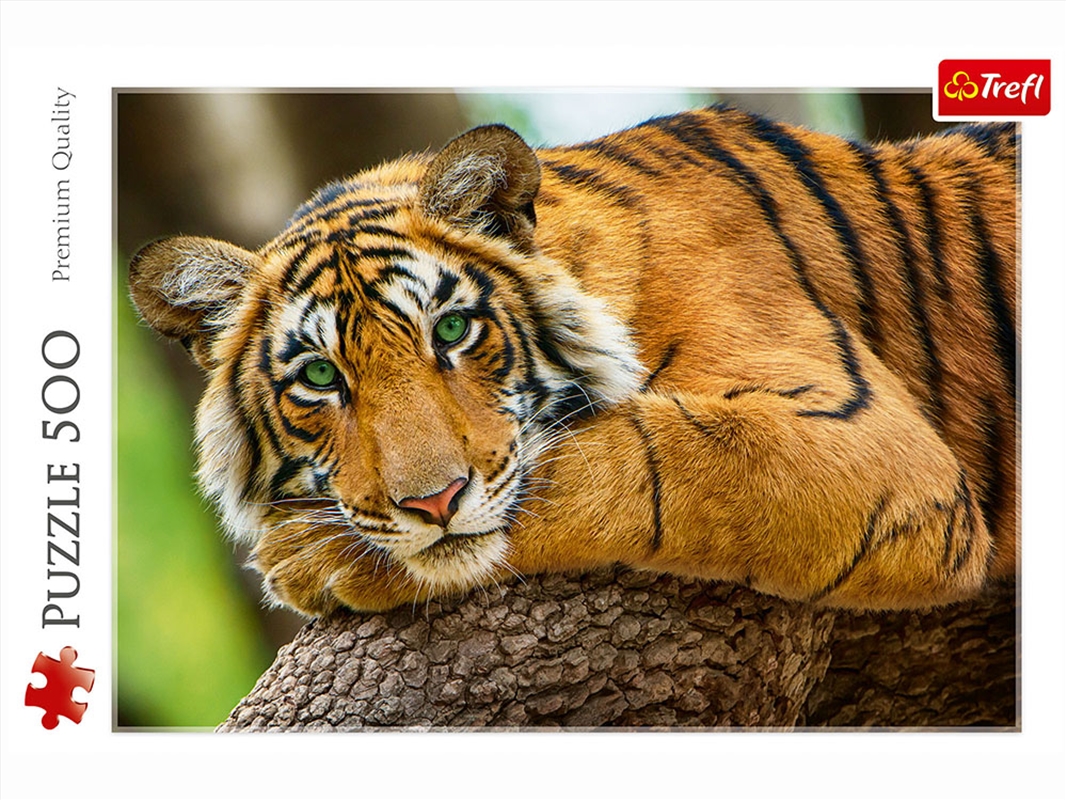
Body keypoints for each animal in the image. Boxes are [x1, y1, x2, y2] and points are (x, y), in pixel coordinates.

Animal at [128, 105, 1017, 617]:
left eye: (452, 330)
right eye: (319, 377)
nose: (433, 503)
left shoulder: (868, 443)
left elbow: (631, 459)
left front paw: (312, 557)